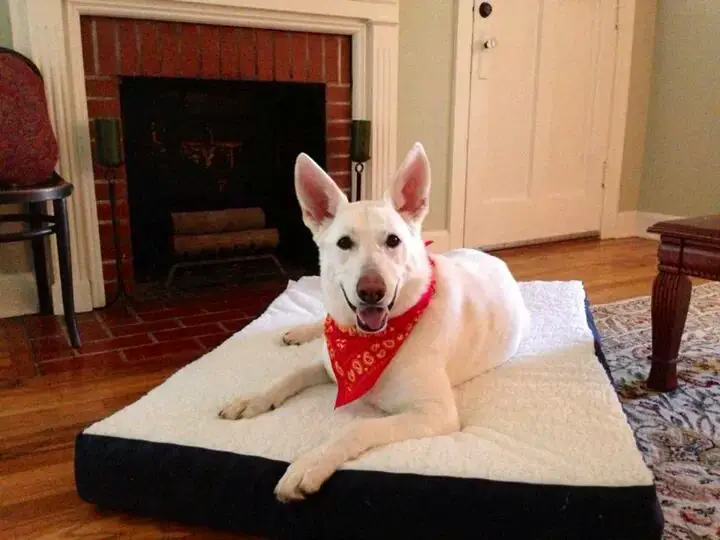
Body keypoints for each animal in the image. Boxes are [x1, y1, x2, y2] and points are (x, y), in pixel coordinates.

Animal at [219, 142, 528, 502]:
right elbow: (293, 373)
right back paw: (300, 331)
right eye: (344, 243)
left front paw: (311, 463)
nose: (371, 292)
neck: (370, 342)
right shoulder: (330, 363)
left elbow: (357, 426)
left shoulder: (436, 413)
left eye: (393, 241)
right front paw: (253, 399)